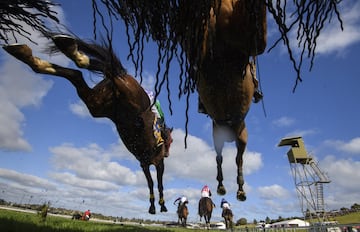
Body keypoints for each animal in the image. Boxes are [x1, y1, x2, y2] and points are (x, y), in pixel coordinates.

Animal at [3, 34, 173, 214]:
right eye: (171, 141)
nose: (168, 153)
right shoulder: (156, 163)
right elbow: (157, 183)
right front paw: (159, 205)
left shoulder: (145, 164)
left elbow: (151, 182)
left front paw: (155, 205)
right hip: (124, 97)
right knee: (110, 71)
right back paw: (66, 49)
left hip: (97, 104)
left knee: (80, 73)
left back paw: (42, 53)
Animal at [194, 0, 268, 201]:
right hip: (219, 136)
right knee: (221, 158)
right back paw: (223, 186)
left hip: (240, 137)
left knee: (238, 159)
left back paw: (239, 189)